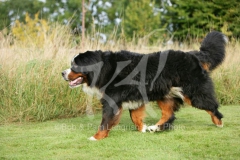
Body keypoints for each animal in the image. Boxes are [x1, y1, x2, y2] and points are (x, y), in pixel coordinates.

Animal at [62, 31, 227, 140]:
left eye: (74, 65)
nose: (63, 73)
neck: (105, 68)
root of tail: (194, 54)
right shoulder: (135, 98)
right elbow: (135, 117)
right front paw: (143, 129)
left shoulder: (112, 100)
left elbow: (105, 121)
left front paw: (96, 137)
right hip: (165, 94)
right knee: (169, 114)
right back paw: (155, 127)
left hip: (193, 93)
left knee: (211, 106)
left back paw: (219, 123)